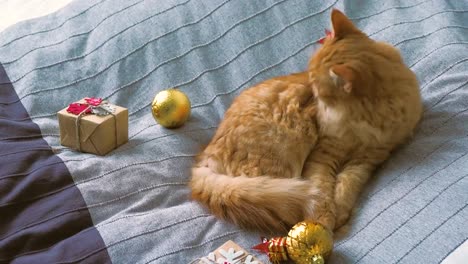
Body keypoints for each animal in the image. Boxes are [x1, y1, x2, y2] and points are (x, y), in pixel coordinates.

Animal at [188, 8, 422, 233]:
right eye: (310, 78)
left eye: (316, 86)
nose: (310, 95)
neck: (365, 123)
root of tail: (203, 163)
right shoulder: (323, 153)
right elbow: (321, 189)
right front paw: (323, 222)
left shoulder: (369, 157)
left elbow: (347, 183)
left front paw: (340, 212)